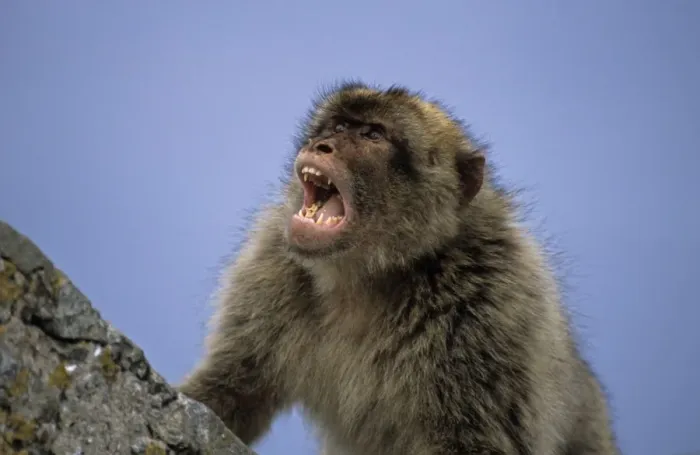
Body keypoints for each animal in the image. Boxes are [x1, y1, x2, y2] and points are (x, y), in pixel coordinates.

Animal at [178, 81, 621, 455]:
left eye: (373, 135)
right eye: (339, 125)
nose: (322, 145)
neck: (368, 276)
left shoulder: (492, 308)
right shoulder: (269, 269)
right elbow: (232, 389)